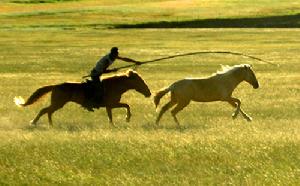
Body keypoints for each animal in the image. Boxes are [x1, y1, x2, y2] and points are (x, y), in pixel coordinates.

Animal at [14, 70, 151, 126]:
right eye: (140, 81)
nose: (149, 93)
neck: (114, 86)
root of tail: (55, 86)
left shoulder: (109, 106)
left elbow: (112, 115)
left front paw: (113, 124)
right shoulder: (111, 104)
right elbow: (126, 106)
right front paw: (127, 118)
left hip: (58, 104)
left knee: (48, 112)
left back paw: (50, 124)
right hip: (58, 103)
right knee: (45, 111)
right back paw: (34, 122)